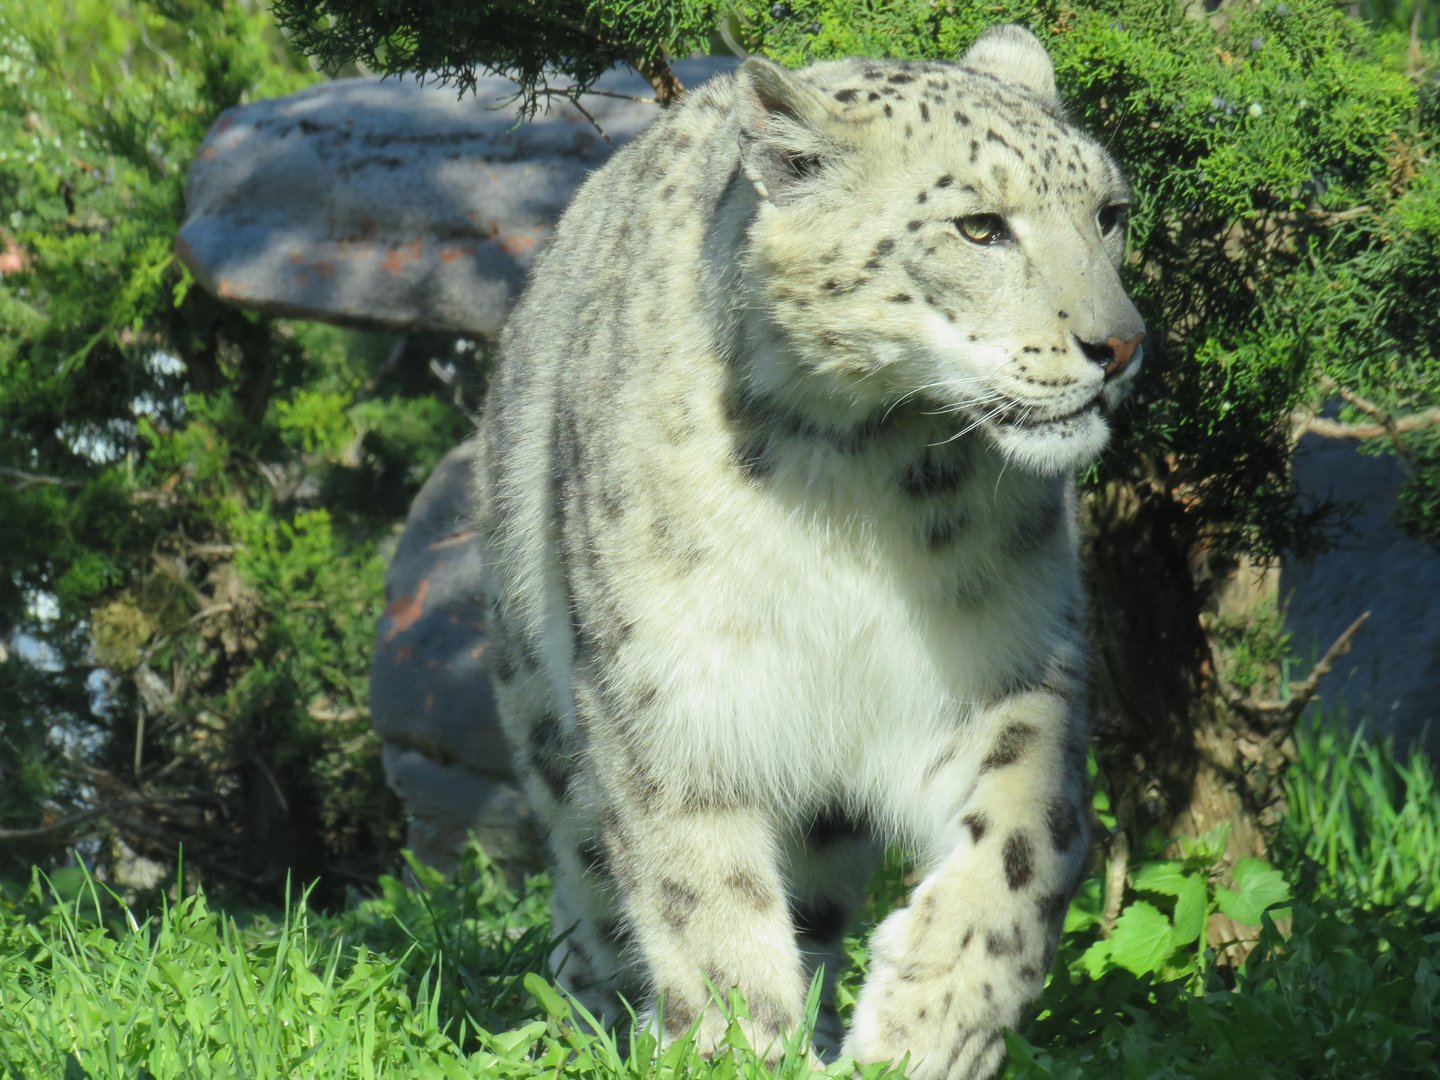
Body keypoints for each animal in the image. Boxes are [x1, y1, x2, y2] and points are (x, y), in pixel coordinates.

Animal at [474, 24, 1145, 1080]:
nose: (1120, 344)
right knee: (589, 889)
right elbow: (705, 903)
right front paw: (741, 1044)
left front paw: (927, 1026)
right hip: (546, 720)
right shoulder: (673, 695)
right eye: (980, 227)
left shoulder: (1001, 662)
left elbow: (1027, 840)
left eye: (1110, 214)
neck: (856, 480)